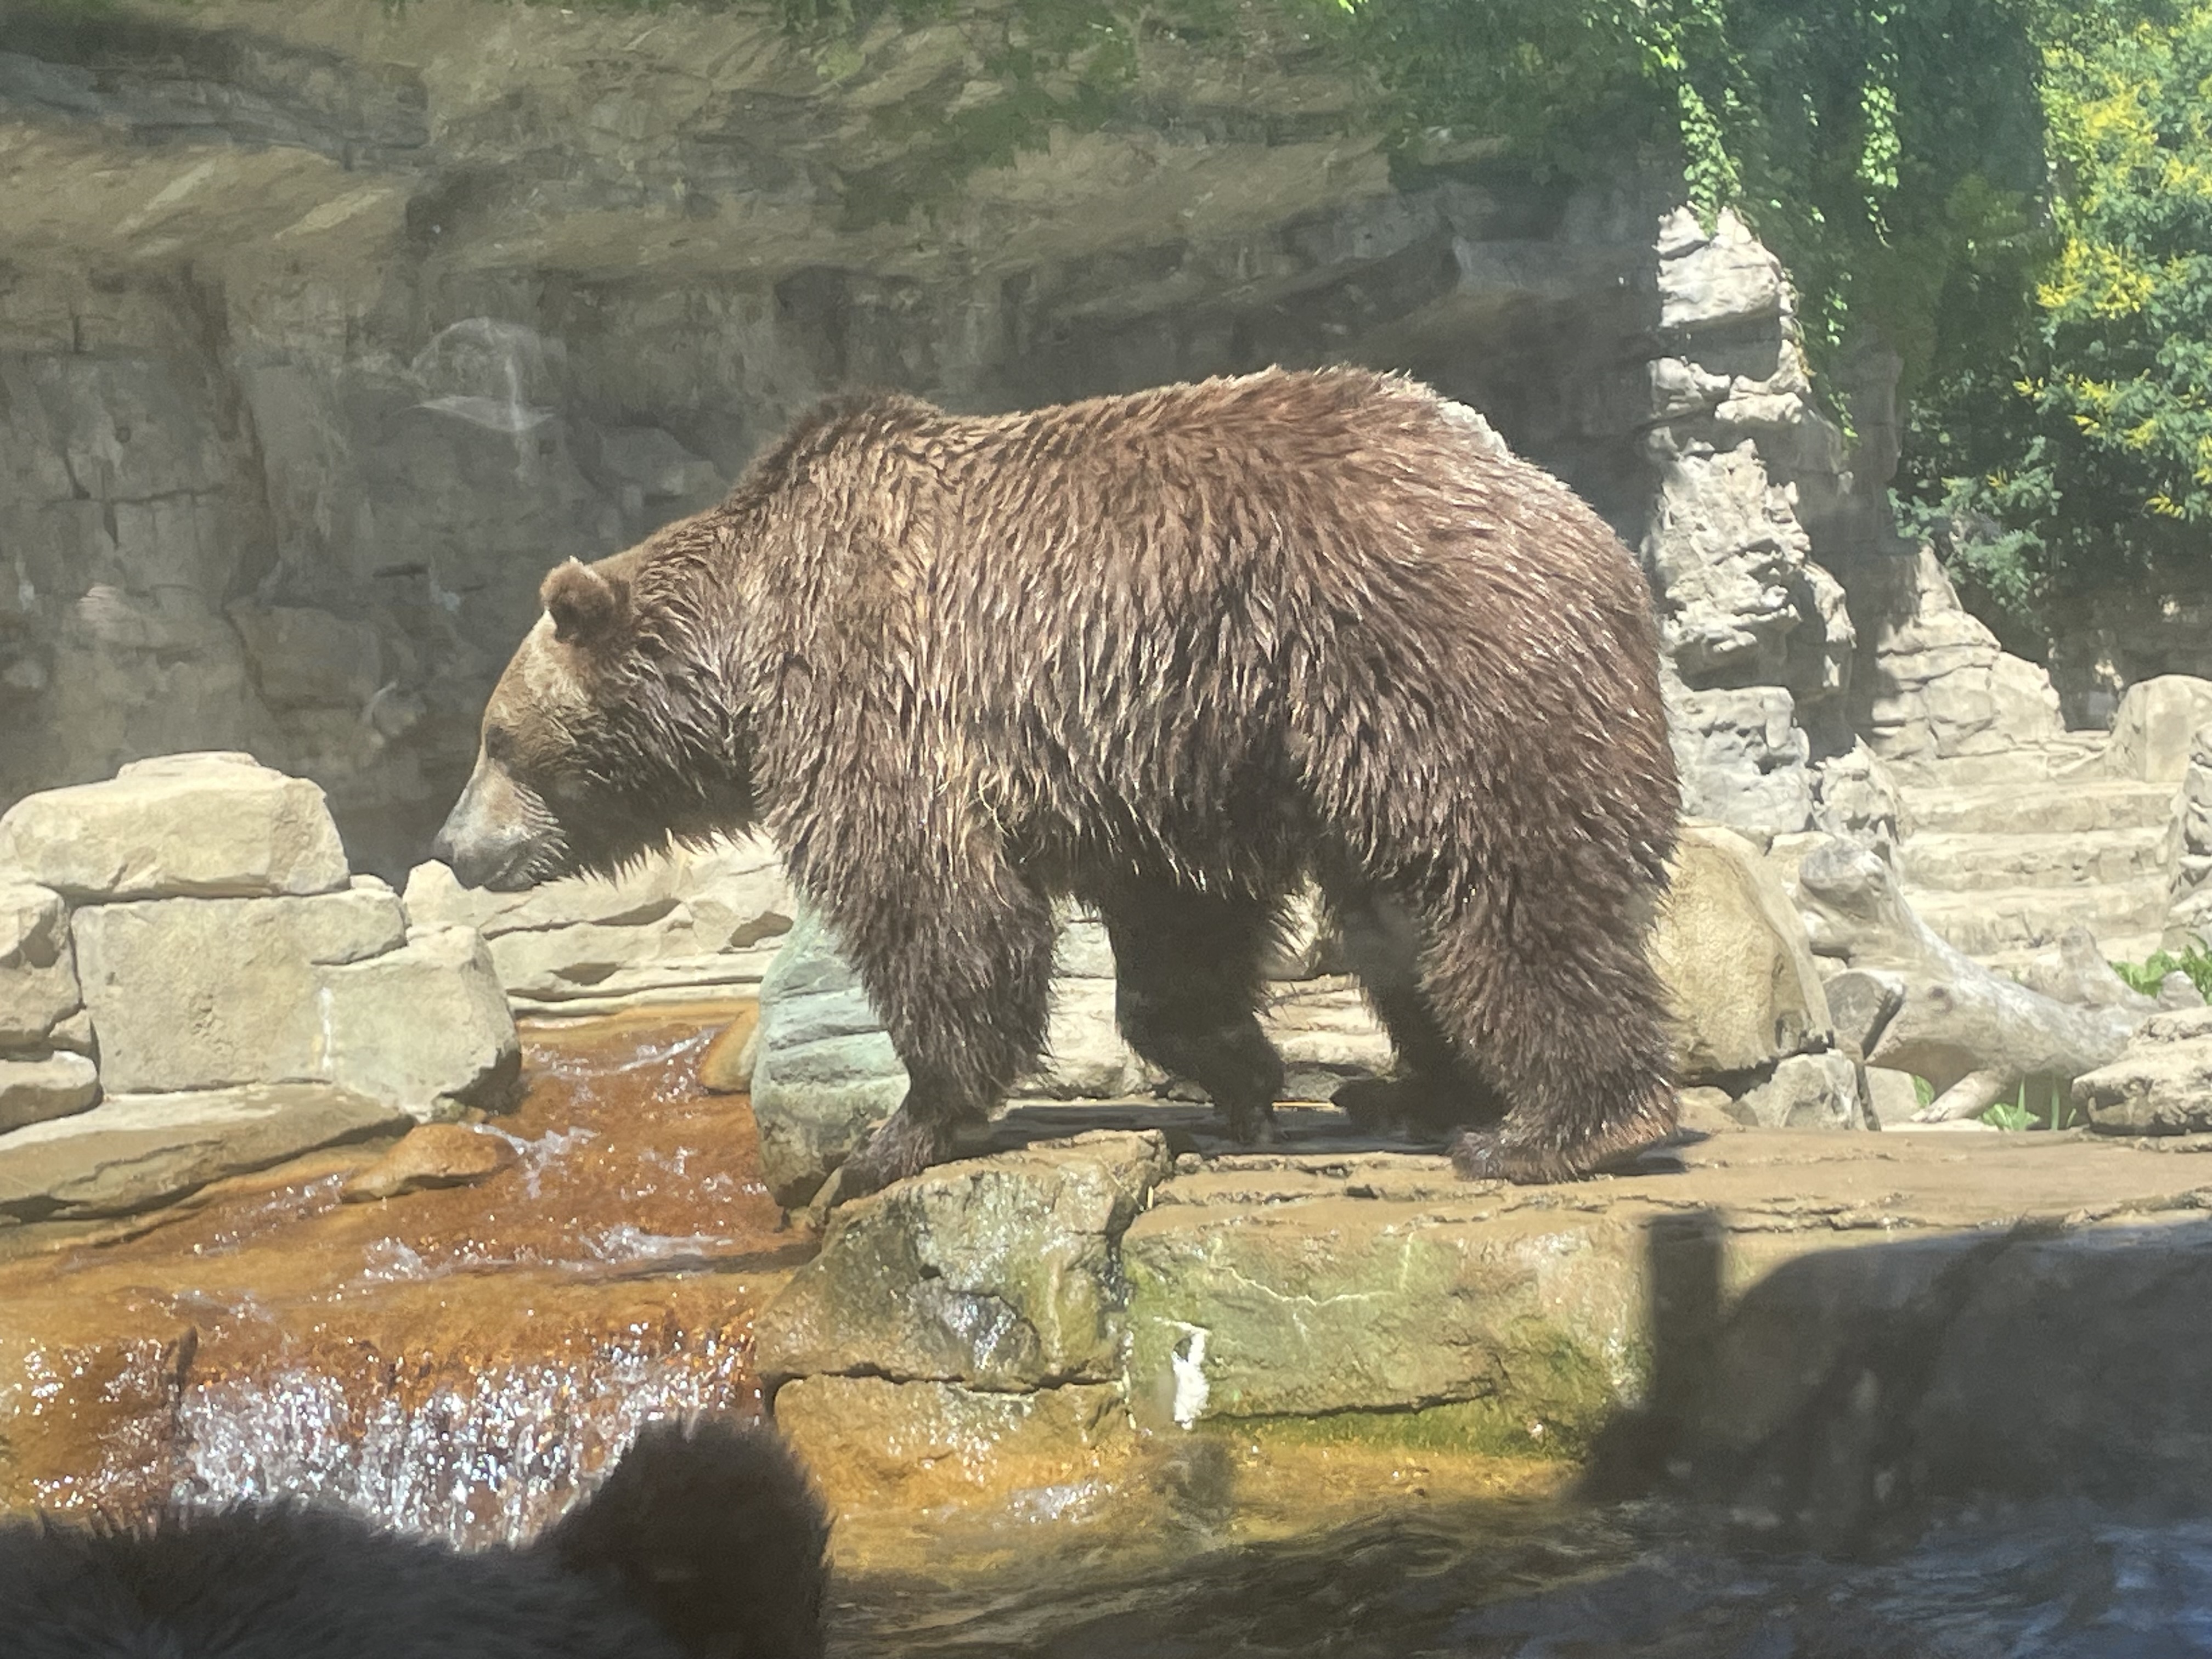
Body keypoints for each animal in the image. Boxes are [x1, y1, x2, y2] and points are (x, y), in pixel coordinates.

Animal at [432, 366, 1681, 1198]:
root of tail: (1586, 528)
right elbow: (1177, 924)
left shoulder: (882, 681)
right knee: (1404, 918)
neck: (741, 651)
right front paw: (1243, 1075)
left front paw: (898, 1131)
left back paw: (1549, 1128)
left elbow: (930, 899)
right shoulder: (1170, 743)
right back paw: (1414, 1090)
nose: (454, 843)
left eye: (495, 739)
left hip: (1424, 670)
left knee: (1500, 891)